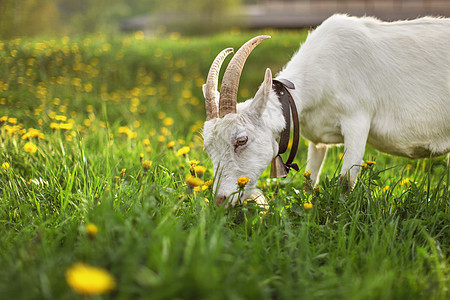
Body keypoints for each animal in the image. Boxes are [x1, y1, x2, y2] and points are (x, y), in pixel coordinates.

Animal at [203, 14, 450, 206]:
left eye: (241, 140)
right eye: (208, 149)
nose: (220, 201)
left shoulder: (357, 119)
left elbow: (345, 182)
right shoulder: (317, 141)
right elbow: (309, 181)